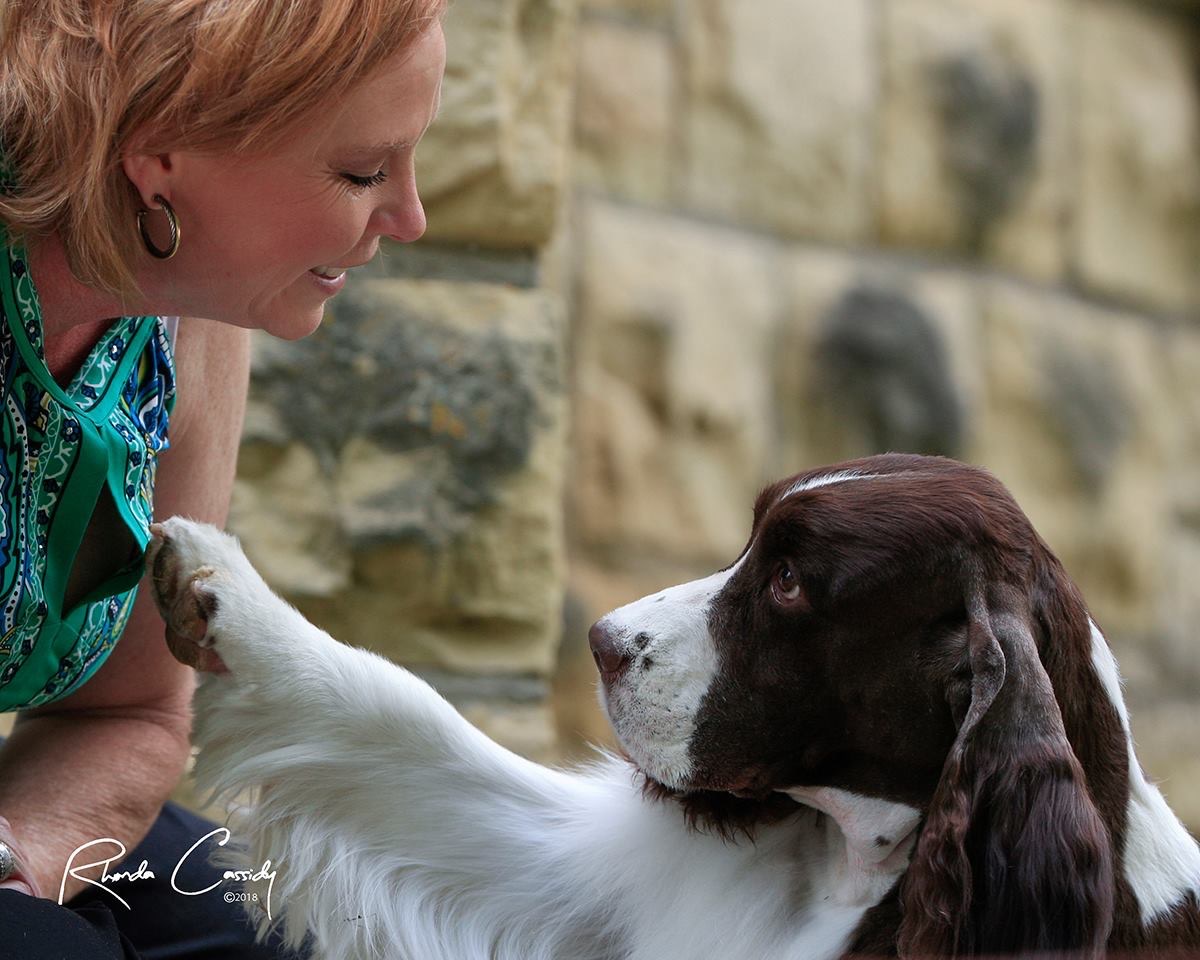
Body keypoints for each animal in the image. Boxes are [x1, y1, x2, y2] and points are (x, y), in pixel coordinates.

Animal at [147, 453, 1200, 955]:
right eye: (752, 541)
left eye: (790, 582)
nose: (602, 642)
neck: (850, 874)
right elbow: (402, 719)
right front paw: (218, 581)